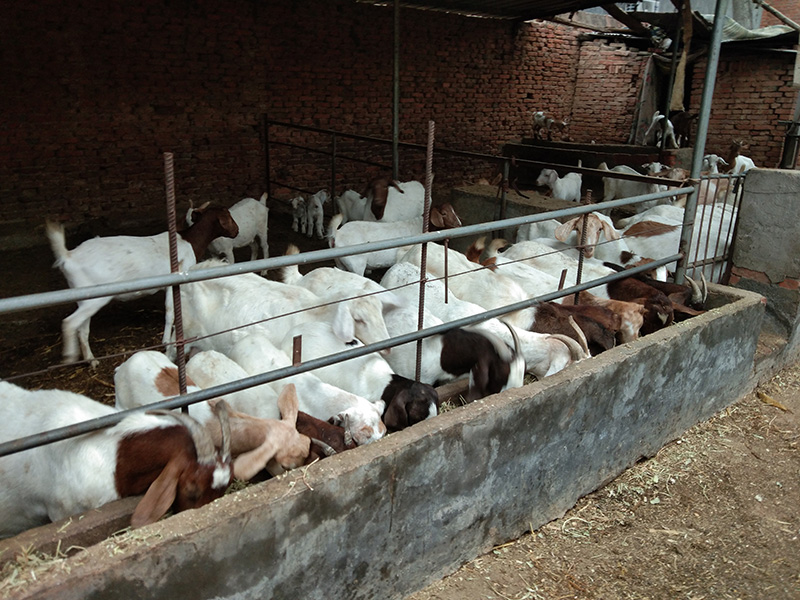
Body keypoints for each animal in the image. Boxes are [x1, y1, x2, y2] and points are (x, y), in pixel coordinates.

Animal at [46, 205, 238, 366]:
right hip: (95, 297)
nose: (236, 231)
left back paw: (91, 360)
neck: (189, 241)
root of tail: (68, 256)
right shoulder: (175, 281)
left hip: (84, 297)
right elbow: (170, 311)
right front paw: (165, 340)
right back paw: (70, 356)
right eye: (228, 217)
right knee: (70, 323)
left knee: (82, 329)